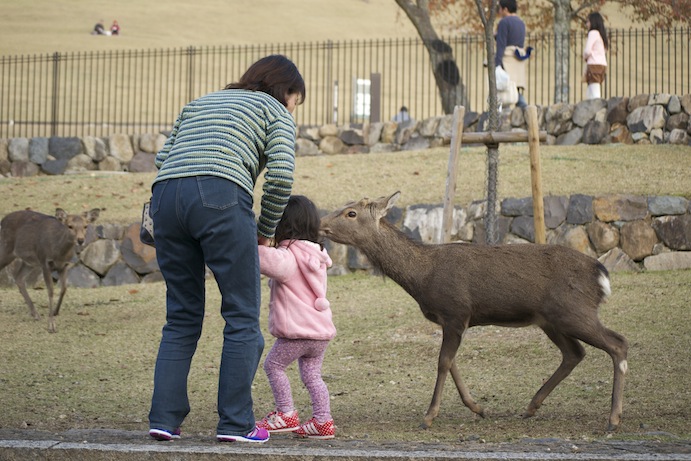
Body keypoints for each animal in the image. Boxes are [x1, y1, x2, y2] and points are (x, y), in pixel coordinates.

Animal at [322, 190, 628, 432]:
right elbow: (451, 362)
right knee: (574, 353)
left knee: (618, 343)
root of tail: (601, 273)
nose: (322, 224)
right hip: (551, 320)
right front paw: (478, 408)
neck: (422, 277)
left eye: (351, 212)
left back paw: (613, 419)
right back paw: (531, 406)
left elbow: (443, 362)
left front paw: (429, 417)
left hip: (573, 311)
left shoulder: (456, 310)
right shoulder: (449, 319)